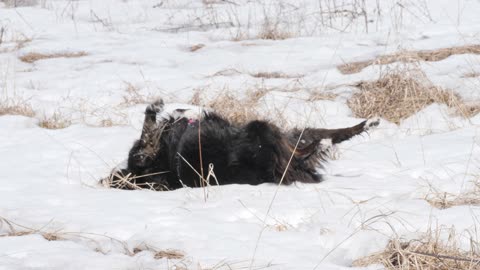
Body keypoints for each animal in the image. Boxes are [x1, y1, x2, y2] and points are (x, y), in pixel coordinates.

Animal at [102, 99, 378, 190]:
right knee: (303, 148)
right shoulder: (145, 155)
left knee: (318, 137)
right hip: (262, 129)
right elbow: (148, 133)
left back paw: (368, 123)